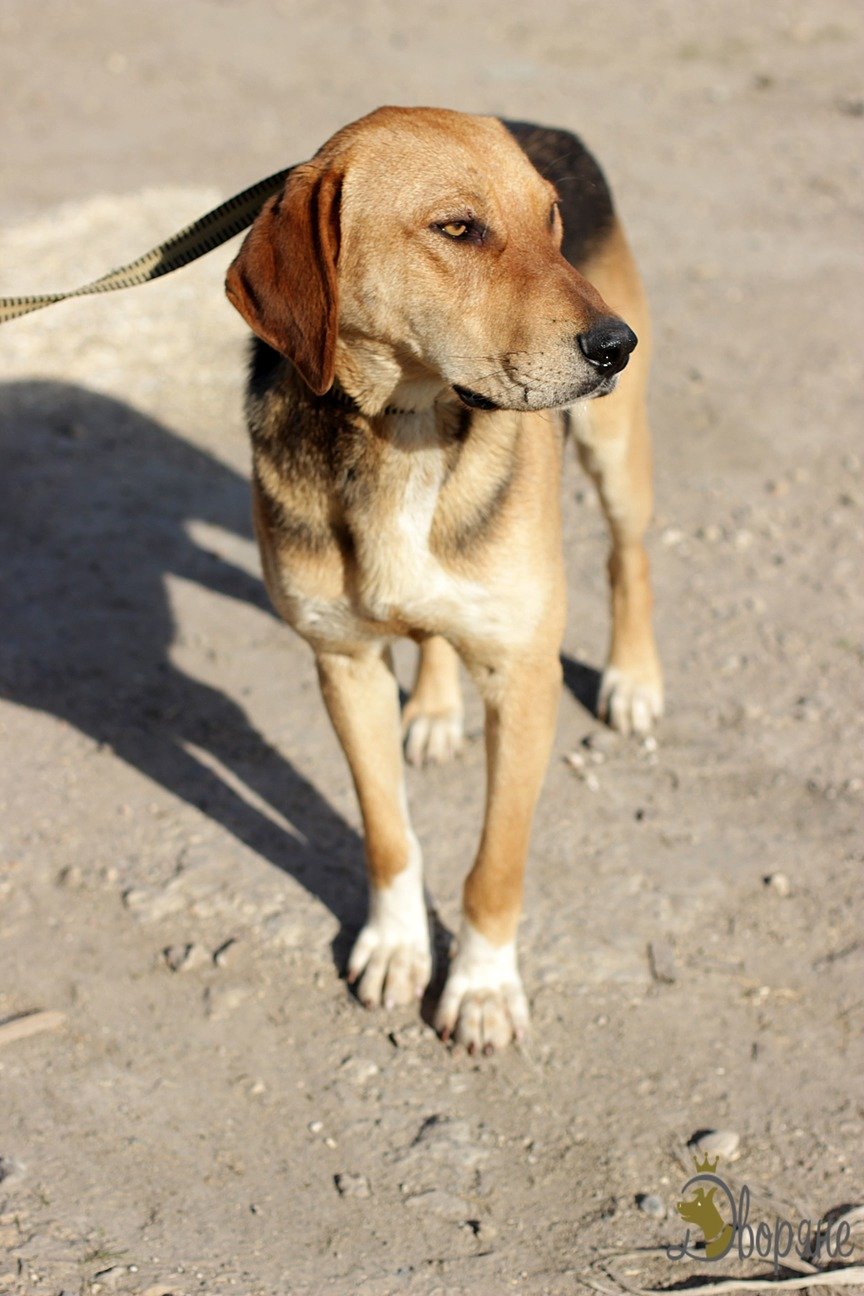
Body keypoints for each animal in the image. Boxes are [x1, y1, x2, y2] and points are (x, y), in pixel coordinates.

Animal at [222, 106, 663, 1047]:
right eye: (458, 229)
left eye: (551, 220)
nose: (616, 347)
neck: (407, 427)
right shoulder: (344, 662)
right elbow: (388, 835)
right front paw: (395, 947)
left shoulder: (524, 675)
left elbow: (495, 865)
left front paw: (483, 987)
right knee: (432, 632)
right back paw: (430, 710)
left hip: (614, 457)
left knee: (628, 556)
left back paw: (634, 680)